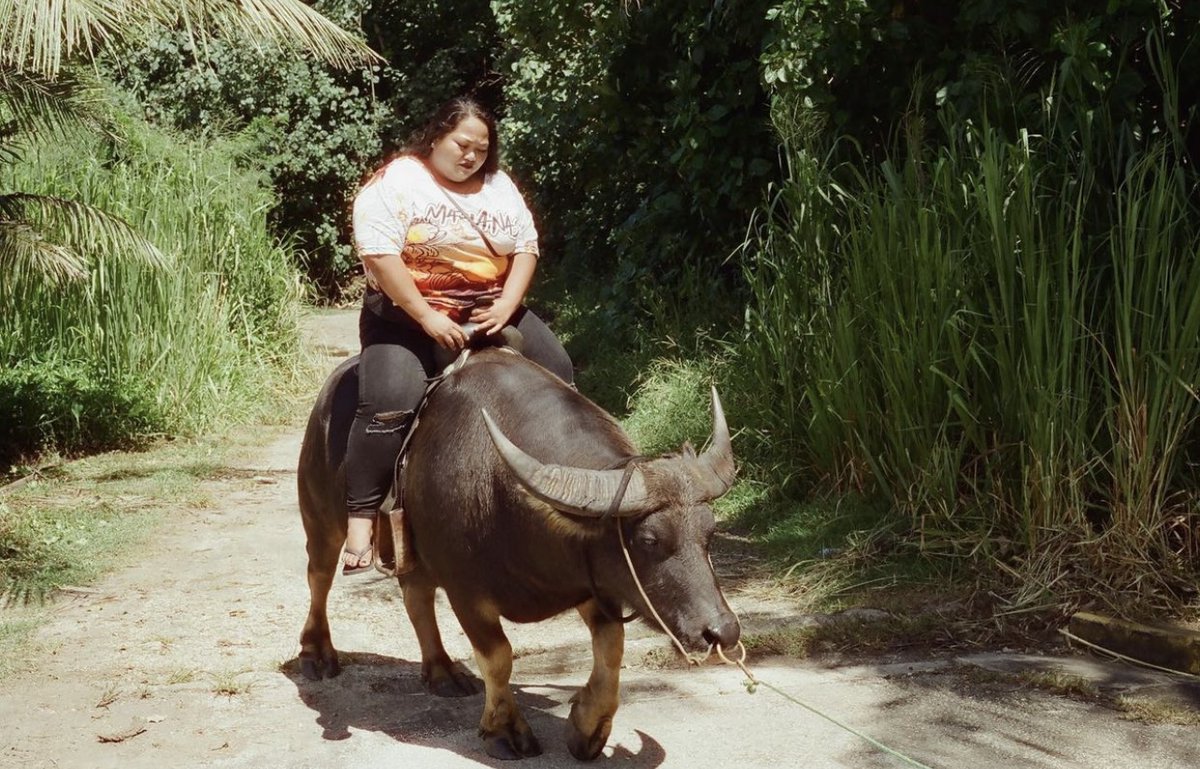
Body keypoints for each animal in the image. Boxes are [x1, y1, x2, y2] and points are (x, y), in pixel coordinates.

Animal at [297, 345, 739, 758]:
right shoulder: (467, 592)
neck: (502, 496)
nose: (722, 631)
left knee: (415, 594)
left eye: (709, 532)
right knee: (319, 575)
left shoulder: (588, 581)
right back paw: (317, 653)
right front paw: (505, 730)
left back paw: (441, 671)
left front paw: (588, 726)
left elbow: (611, 646)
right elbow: (498, 656)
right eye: (648, 540)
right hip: (321, 518)